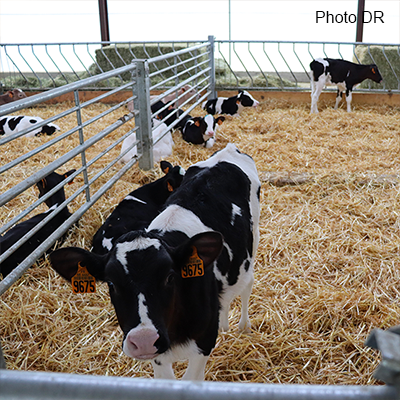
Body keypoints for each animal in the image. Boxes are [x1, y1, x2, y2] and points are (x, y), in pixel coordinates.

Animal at [49, 142, 260, 380]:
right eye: (111, 283)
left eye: (170, 277)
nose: (144, 340)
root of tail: (227, 150)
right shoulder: (158, 354)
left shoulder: (204, 341)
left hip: (253, 242)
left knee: (247, 285)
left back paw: (243, 326)